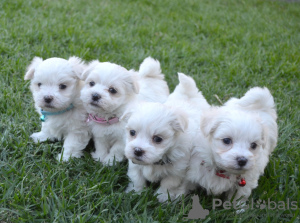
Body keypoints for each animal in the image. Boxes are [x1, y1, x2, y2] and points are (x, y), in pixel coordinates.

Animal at [123, 73, 210, 202]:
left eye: (158, 139)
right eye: (132, 132)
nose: (137, 151)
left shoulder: (177, 171)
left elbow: (168, 184)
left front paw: (162, 197)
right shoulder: (135, 166)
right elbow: (137, 179)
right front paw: (135, 193)